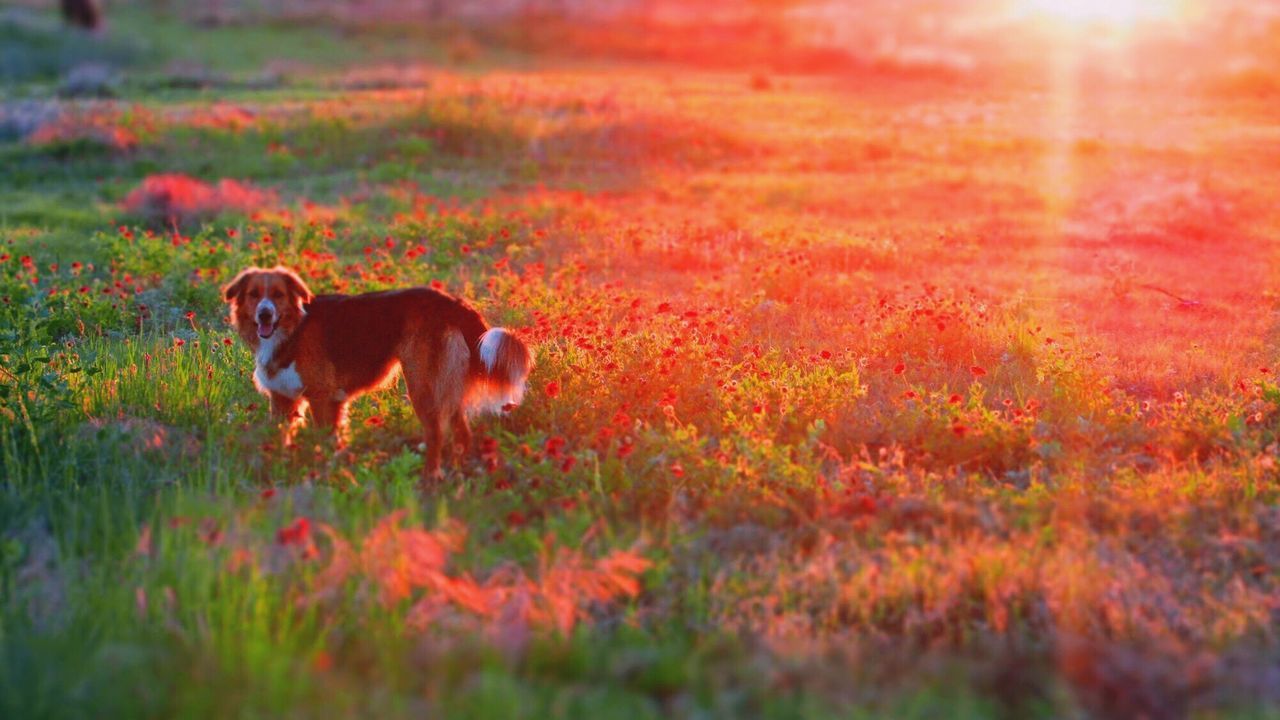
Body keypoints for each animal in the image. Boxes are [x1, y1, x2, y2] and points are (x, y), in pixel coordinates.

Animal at [222, 263, 532, 476]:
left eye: (277, 295)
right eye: (253, 295)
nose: (264, 314)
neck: (292, 329)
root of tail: (453, 303)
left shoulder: (321, 398)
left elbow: (323, 441)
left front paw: (324, 476)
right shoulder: (283, 400)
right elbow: (280, 440)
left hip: (423, 385)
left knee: (435, 433)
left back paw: (429, 479)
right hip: (447, 385)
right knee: (461, 434)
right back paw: (458, 475)